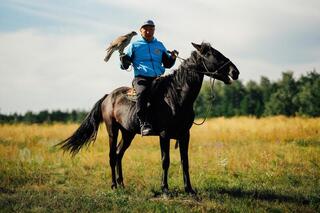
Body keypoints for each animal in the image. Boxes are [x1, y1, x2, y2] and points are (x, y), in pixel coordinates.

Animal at [57, 41, 239, 195]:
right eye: (211, 54)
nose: (235, 71)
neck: (175, 96)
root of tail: (108, 96)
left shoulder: (185, 135)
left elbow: (185, 161)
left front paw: (189, 189)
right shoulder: (164, 134)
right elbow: (165, 161)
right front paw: (165, 189)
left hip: (128, 133)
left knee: (119, 154)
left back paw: (122, 184)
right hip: (112, 130)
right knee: (111, 155)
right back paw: (114, 185)